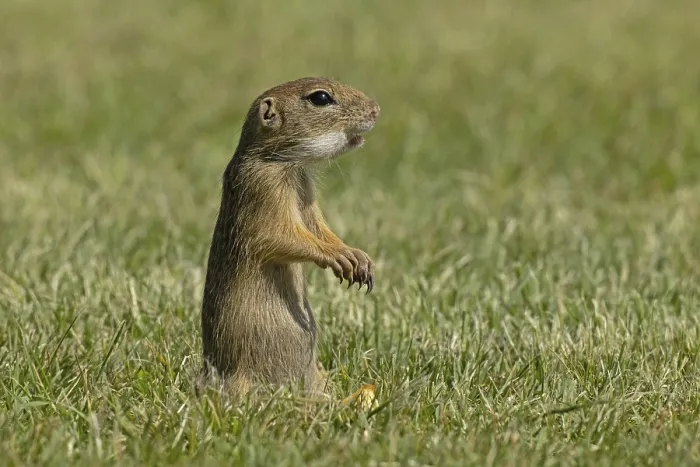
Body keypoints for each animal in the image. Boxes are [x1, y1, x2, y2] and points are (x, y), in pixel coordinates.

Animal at [198, 77, 380, 397]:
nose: (376, 109)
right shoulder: (263, 187)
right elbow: (279, 236)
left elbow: (317, 227)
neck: (284, 162)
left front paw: (358, 257)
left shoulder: (305, 191)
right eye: (321, 98)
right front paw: (340, 257)